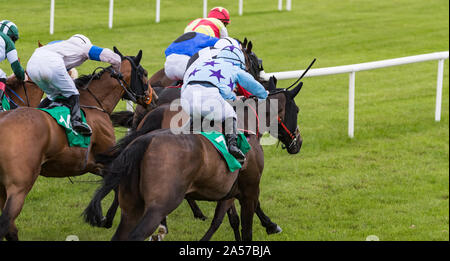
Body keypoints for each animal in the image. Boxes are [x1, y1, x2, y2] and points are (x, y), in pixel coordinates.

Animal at [0, 47, 155, 240]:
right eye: (145, 73)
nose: (154, 98)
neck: (93, 103)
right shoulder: (106, 158)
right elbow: (116, 185)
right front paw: (103, 218)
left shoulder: (92, 164)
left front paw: (101, 217)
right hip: (19, 187)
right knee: (6, 222)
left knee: (10, 227)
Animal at [83, 75, 302, 240]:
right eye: (297, 110)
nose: (298, 142)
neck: (243, 124)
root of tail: (145, 140)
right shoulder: (249, 188)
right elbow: (247, 221)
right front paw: (271, 225)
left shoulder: (228, 190)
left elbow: (225, 220)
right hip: (159, 204)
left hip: (134, 204)